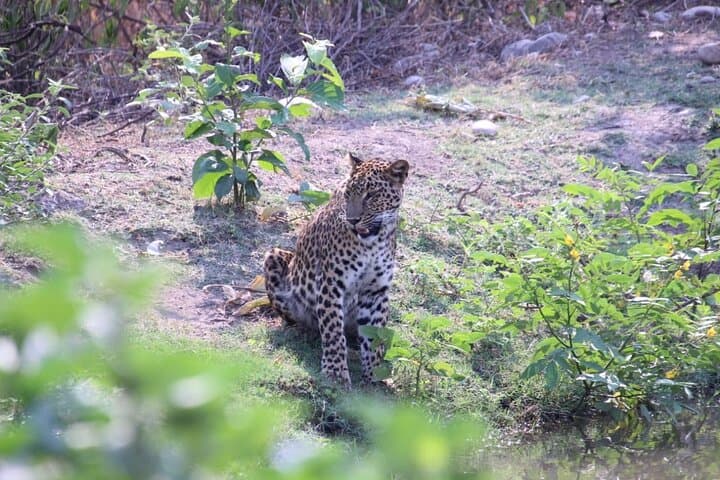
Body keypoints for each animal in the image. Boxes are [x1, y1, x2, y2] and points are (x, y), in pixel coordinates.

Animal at [264, 153, 409, 387]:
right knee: (305, 323)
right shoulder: (331, 283)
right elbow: (333, 330)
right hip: (274, 257)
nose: (352, 220)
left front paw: (374, 374)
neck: (373, 243)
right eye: (348, 194)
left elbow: (373, 335)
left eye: (372, 195)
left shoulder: (376, 291)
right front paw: (335, 372)